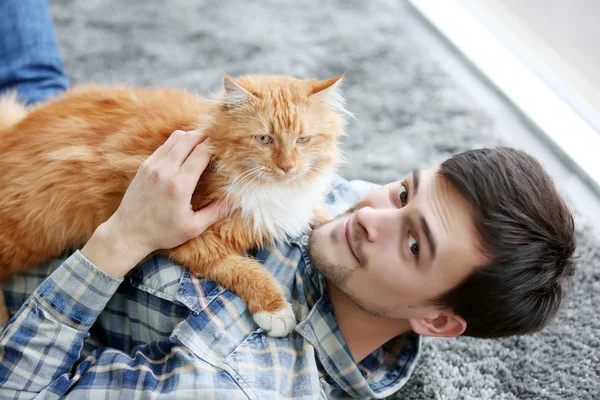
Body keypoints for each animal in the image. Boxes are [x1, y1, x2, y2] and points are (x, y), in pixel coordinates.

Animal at [0, 74, 346, 334]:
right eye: (264, 139)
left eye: (303, 140)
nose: (287, 167)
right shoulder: (190, 240)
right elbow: (246, 269)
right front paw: (274, 309)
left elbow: (316, 214)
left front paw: (333, 218)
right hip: (27, 234)